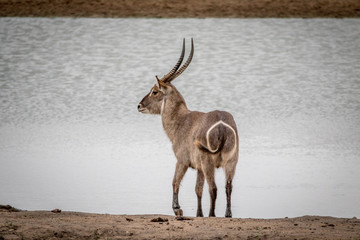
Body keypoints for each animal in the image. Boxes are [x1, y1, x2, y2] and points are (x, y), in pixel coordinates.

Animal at [138, 39, 239, 218]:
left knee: (214, 188)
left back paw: (212, 215)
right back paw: (227, 215)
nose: (139, 105)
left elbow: (175, 182)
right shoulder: (198, 168)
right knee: (228, 187)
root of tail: (222, 125)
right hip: (230, 162)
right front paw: (198, 214)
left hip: (209, 163)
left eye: (154, 91)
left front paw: (177, 208)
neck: (182, 120)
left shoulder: (182, 160)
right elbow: (198, 189)